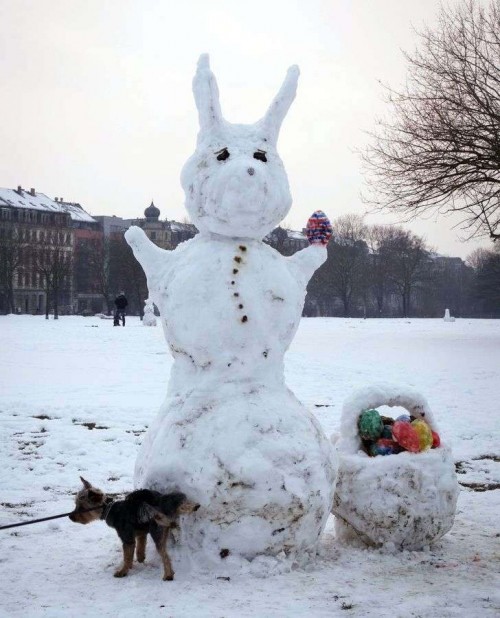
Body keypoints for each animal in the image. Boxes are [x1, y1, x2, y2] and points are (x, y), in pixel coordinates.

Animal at [70, 476, 199, 576]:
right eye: (76, 504)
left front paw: (123, 571)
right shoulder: (141, 534)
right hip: (164, 530)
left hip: (157, 533)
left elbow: (127, 556)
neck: (110, 509)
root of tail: (162, 503)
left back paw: (168, 575)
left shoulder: (127, 539)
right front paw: (140, 559)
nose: (70, 517)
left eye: (81, 508)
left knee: (165, 556)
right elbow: (139, 548)